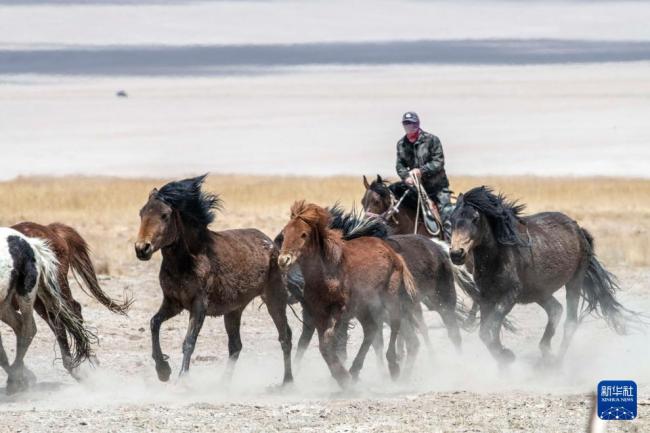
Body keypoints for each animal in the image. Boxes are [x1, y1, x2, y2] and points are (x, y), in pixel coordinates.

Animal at [12, 222, 132, 378]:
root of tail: (50, 229)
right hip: (41, 298)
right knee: (58, 319)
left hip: (57, 286)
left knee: (71, 312)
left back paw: (83, 361)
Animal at [135, 175, 293, 384]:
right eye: (141, 213)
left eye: (165, 215)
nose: (142, 248)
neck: (188, 260)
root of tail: (273, 246)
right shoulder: (173, 303)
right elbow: (154, 323)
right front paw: (163, 370)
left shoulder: (199, 305)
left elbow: (189, 341)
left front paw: (182, 378)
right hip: (234, 311)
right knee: (236, 345)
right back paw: (222, 384)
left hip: (274, 299)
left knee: (285, 337)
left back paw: (287, 382)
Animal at [277, 201, 419, 387]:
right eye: (285, 232)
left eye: (303, 234)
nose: (283, 259)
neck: (327, 272)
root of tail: (394, 254)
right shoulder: (318, 313)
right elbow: (323, 344)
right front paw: (342, 377)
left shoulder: (339, 310)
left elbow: (328, 340)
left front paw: (341, 377)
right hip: (364, 308)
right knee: (371, 330)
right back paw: (355, 370)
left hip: (389, 298)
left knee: (395, 325)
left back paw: (393, 367)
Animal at [448, 186, 635, 368]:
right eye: (452, 219)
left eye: (475, 218)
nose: (456, 254)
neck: (498, 256)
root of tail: (579, 230)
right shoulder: (486, 297)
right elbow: (485, 333)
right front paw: (504, 358)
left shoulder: (509, 295)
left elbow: (492, 328)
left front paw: (507, 356)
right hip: (539, 292)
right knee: (555, 310)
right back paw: (546, 353)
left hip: (574, 281)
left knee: (570, 322)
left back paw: (556, 364)